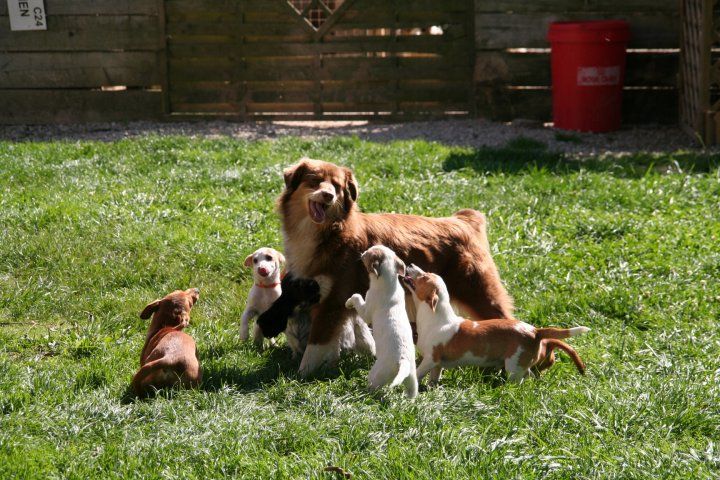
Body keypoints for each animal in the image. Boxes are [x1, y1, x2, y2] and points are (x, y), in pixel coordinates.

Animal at [278, 158, 516, 376]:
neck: (326, 232)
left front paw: (302, 375)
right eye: (315, 181)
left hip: (478, 292)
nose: (329, 195)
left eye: (336, 186)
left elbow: (315, 345)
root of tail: (464, 221)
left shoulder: (332, 301)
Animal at [346, 246, 420, 400]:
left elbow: (356, 296)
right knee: (412, 391)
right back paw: (409, 400)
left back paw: (363, 392)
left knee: (373, 387)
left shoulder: (366, 311)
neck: (389, 281)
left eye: (367, 253)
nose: (362, 252)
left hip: (376, 374)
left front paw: (348, 302)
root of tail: (403, 360)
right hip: (412, 378)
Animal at [402, 264, 588, 384]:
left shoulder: (430, 359)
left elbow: (417, 373)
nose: (410, 263)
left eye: (424, 276)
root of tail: (535, 331)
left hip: (513, 366)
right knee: (531, 377)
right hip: (521, 365)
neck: (436, 317)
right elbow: (434, 378)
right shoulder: (438, 363)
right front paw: (432, 388)